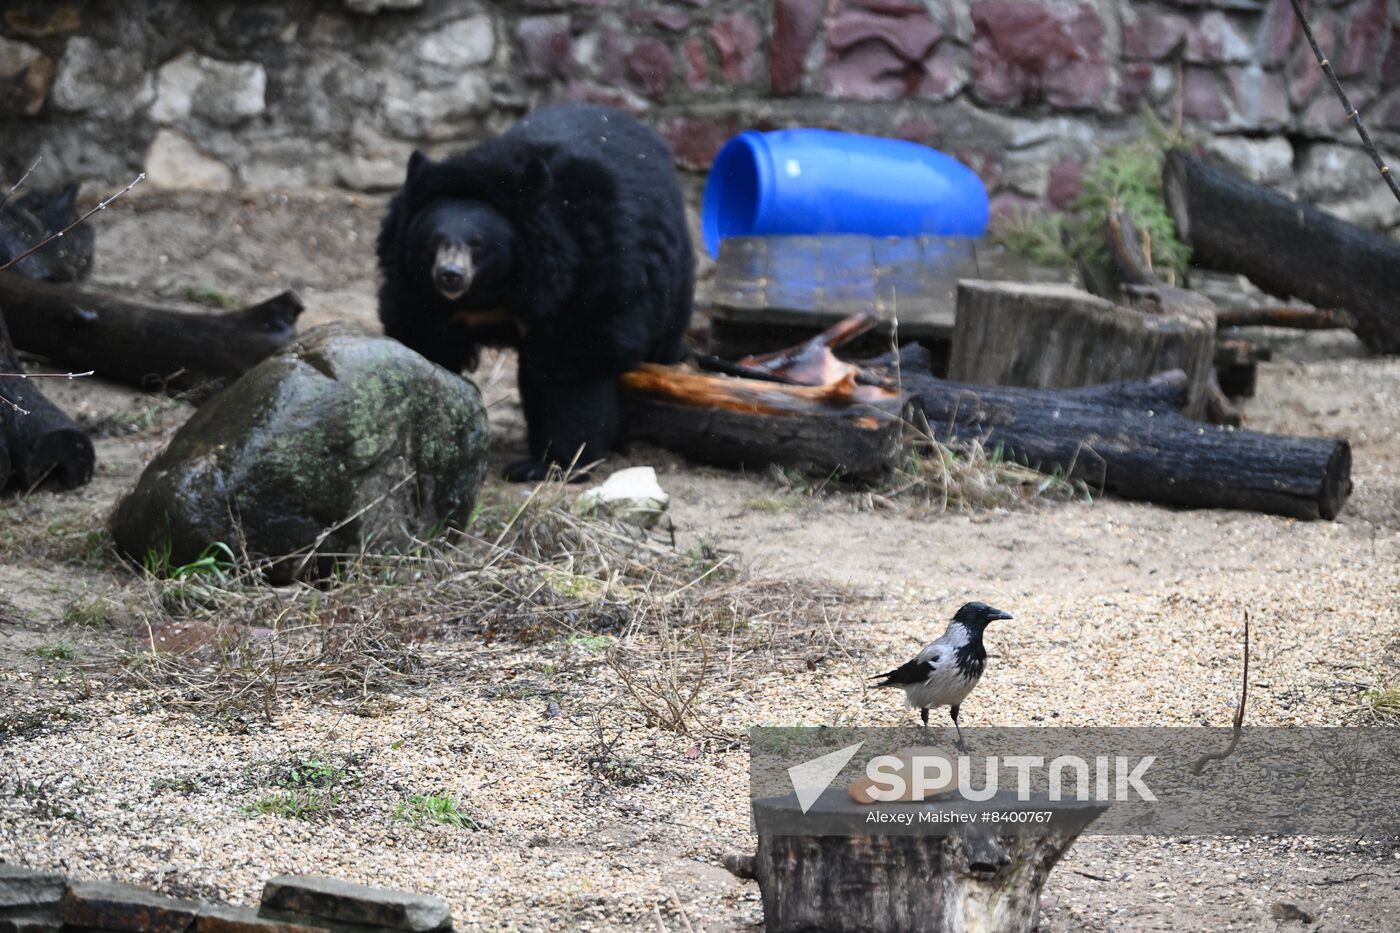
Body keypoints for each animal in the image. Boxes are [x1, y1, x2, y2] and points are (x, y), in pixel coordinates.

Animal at [378, 102, 694, 479]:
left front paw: (549, 464)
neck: (495, 292)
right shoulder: (414, 287)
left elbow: (576, 364)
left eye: (478, 244)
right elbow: (422, 338)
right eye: (432, 241)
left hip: (670, 276)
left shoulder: (588, 269)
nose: (450, 276)